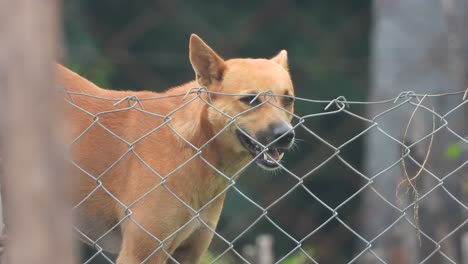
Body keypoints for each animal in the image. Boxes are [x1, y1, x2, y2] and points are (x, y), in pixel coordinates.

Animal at [56, 34, 294, 262]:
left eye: (288, 100)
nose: (286, 135)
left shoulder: (187, 253)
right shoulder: (141, 253)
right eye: (250, 100)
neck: (196, 148)